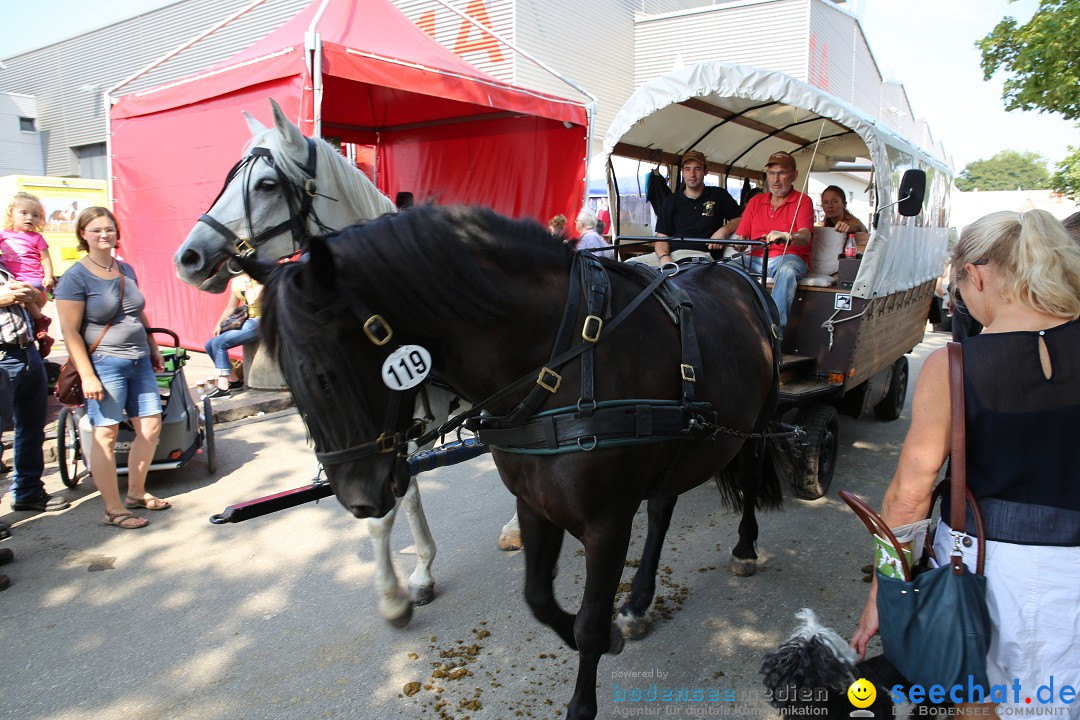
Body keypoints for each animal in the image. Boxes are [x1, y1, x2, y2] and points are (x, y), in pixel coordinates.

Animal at [172, 98, 518, 626]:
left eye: (266, 184)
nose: (188, 257)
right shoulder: (395, 426)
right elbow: (404, 494)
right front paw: (421, 573)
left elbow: (383, 510)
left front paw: (394, 596)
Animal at [249, 204, 781, 720]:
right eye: (289, 383)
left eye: (326, 377)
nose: (358, 500)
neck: (560, 364)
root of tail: (731, 269)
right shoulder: (534, 503)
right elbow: (539, 599)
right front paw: (603, 631)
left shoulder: (607, 522)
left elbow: (589, 623)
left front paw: (586, 683)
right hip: (683, 442)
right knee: (661, 508)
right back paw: (638, 601)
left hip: (755, 427)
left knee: (749, 479)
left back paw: (745, 549)